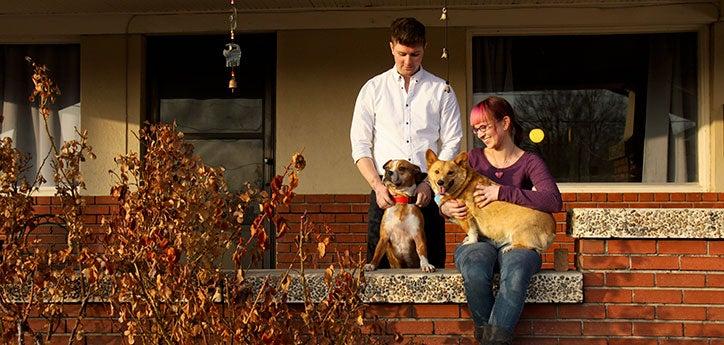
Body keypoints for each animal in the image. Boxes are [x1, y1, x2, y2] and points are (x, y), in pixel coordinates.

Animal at [424, 149, 556, 251]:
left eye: (450, 173)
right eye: (437, 172)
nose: (440, 182)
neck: (463, 184)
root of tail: (552, 229)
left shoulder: (466, 216)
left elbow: (472, 232)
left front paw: (470, 242)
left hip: (519, 231)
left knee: (529, 246)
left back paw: (509, 247)